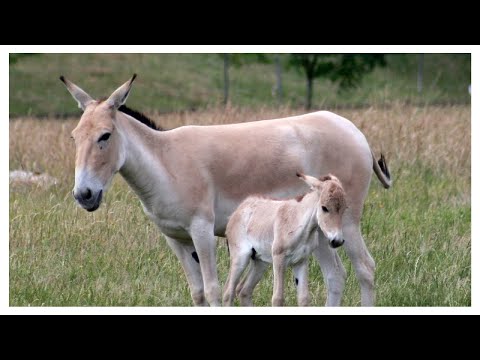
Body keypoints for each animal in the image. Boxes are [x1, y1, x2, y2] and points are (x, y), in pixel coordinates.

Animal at [223, 173, 346, 306]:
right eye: (324, 208)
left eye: (344, 209)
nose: (337, 241)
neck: (300, 224)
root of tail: (241, 207)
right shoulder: (279, 258)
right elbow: (278, 298)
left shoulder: (301, 260)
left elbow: (304, 298)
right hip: (240, 256)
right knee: (228, 292)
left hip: (260, 261)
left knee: (244, 290)